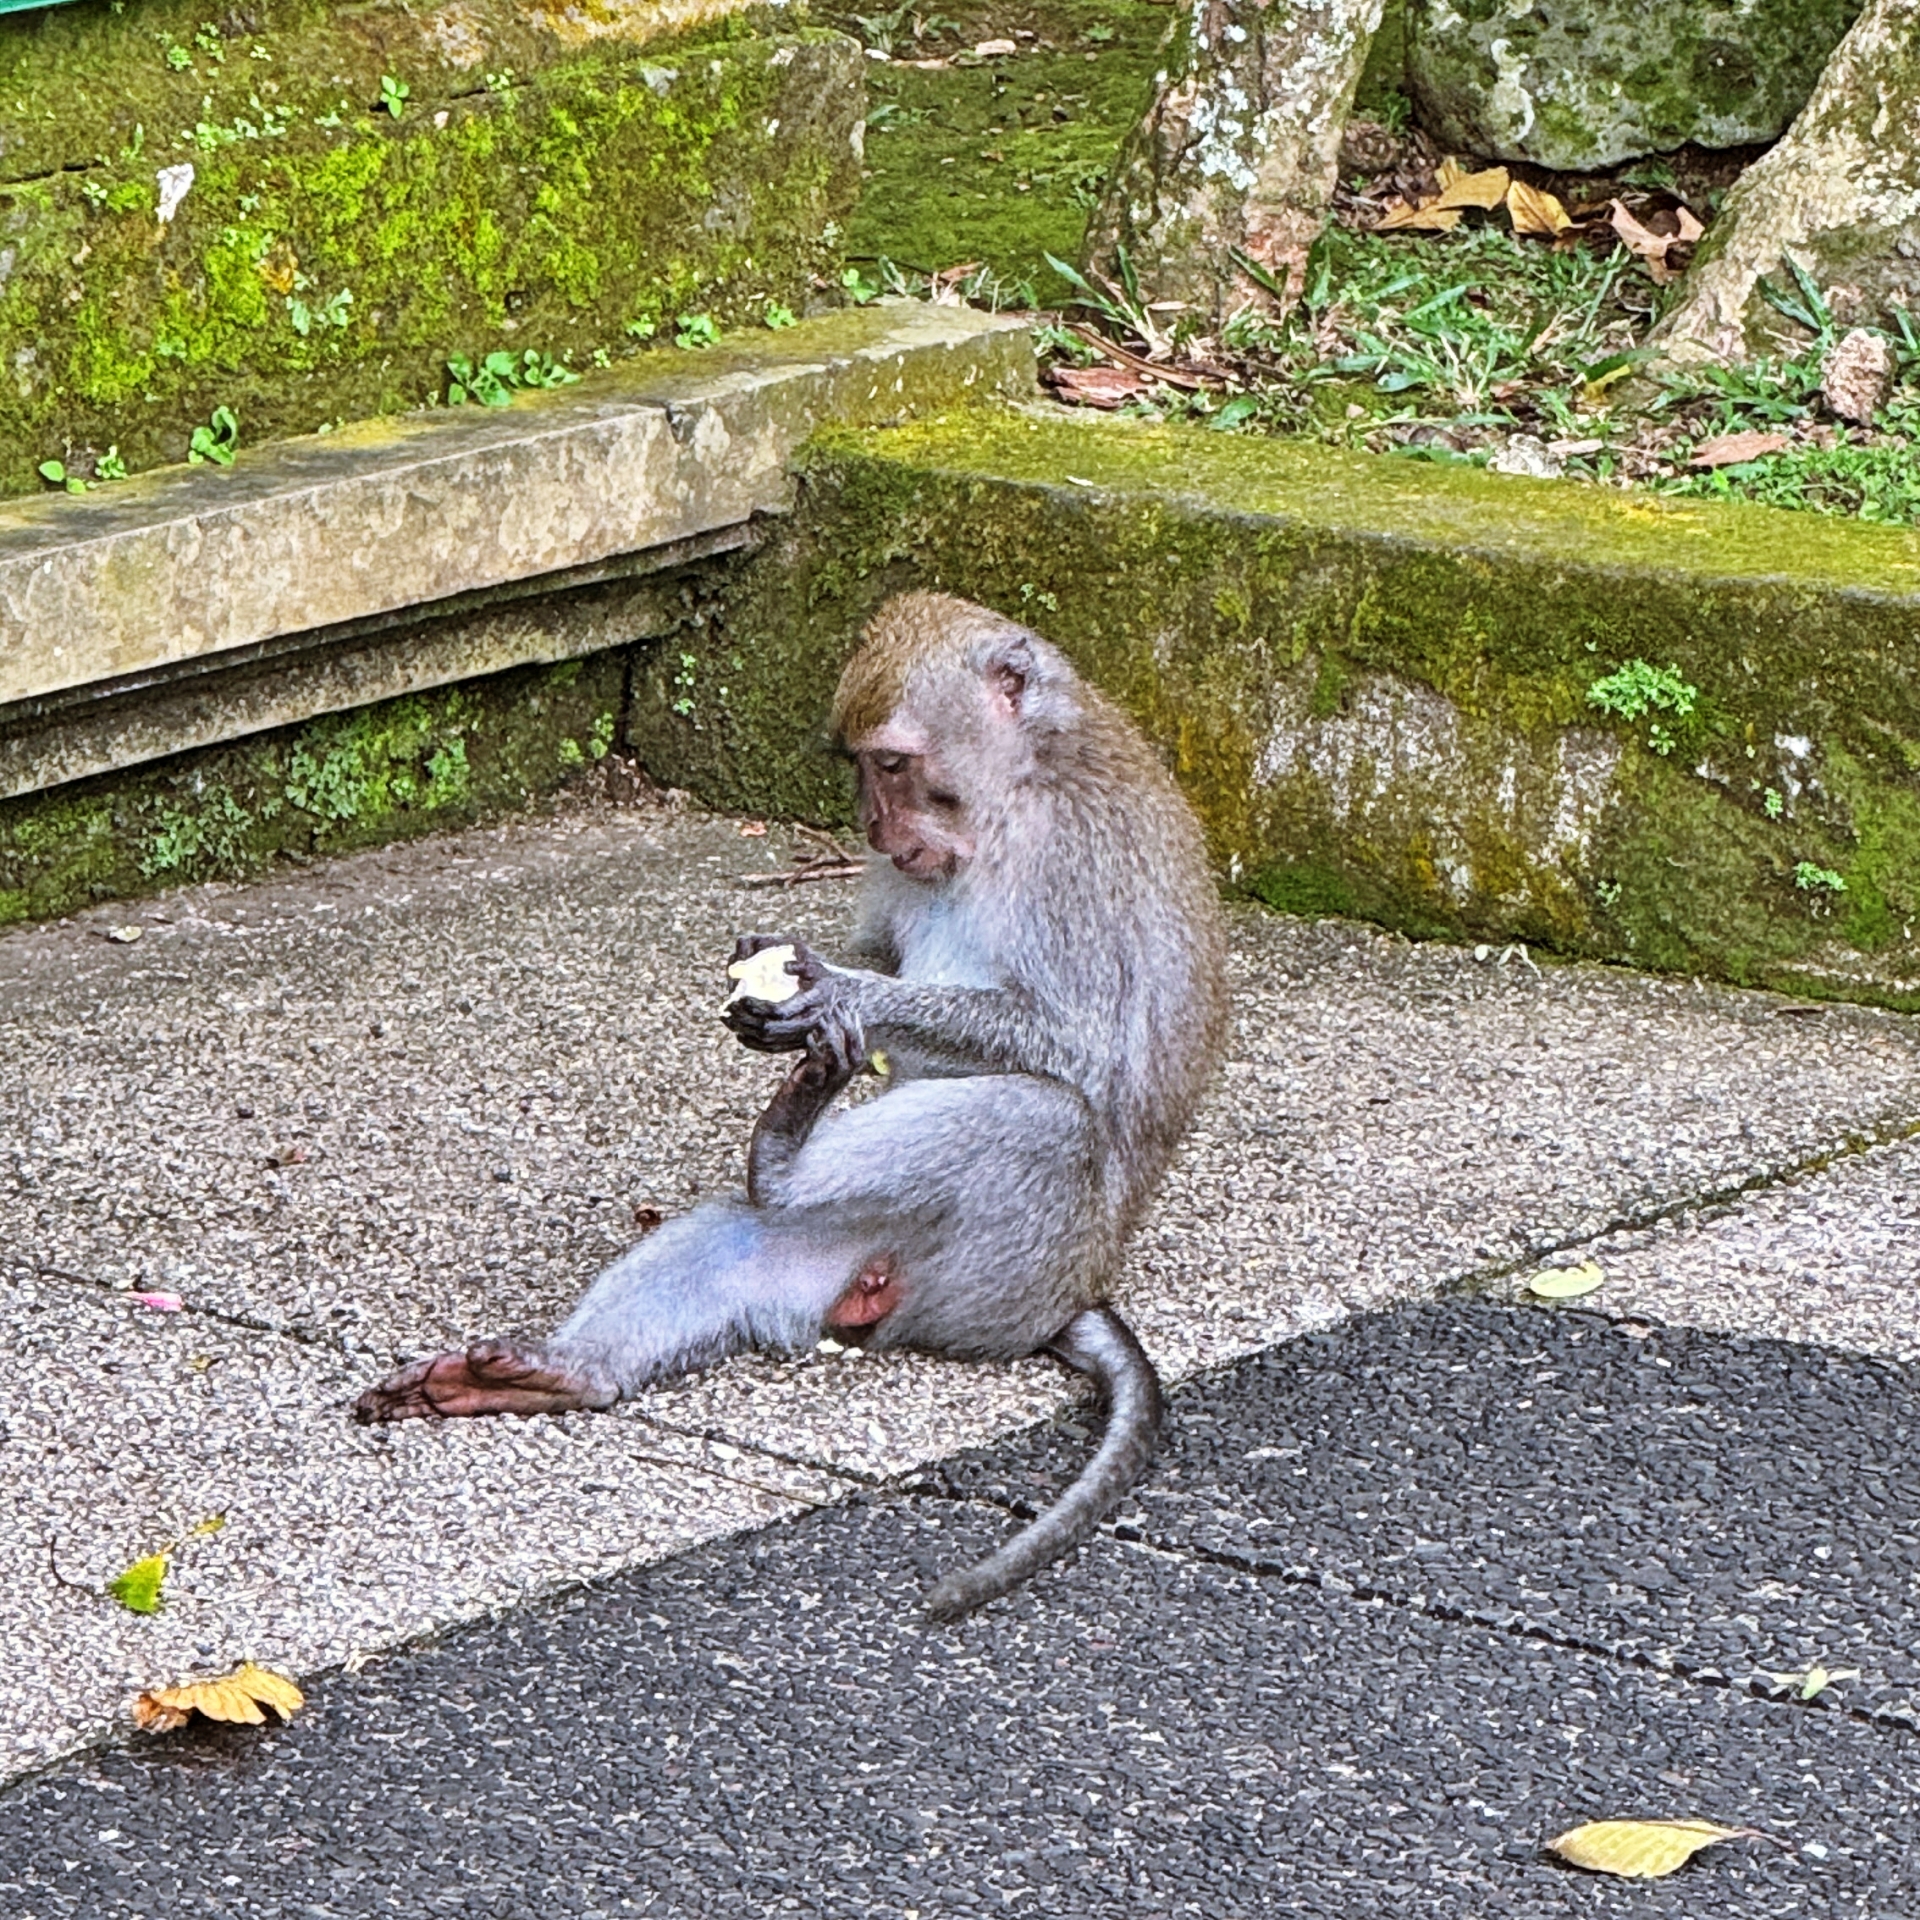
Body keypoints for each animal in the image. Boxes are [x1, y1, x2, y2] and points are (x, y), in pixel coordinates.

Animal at [354, 590, 1229, 1618]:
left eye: (892, 763)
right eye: (859, 767)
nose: (875, 831)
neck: (1013, 793)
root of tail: (1079, 1294)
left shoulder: (1074, 856)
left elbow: (1081, 1044)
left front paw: (839, 997)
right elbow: (889, 949)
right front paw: (787, 979)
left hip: (1018, 1264)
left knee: (1041, 1116)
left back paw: (779, 1155)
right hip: (867, 1253)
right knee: (746, 1234)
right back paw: (572, 1374)